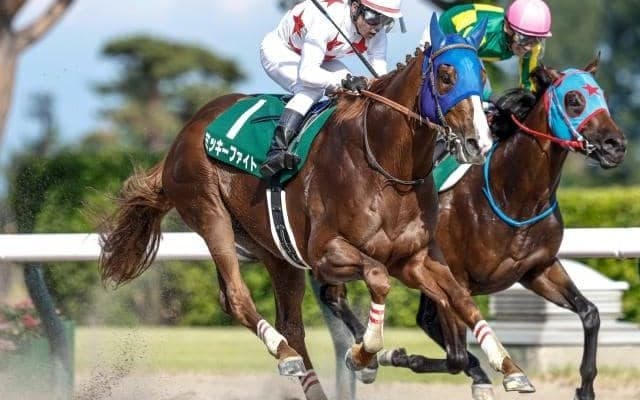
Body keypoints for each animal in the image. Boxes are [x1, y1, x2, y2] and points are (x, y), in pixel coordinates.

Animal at [98, 14, 532, 400]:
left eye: (483, 75)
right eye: (446, 75)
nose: (479, 142)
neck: (386, 167)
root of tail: (182, 135)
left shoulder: (415, 258)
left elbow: (460, 298)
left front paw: (510, 368)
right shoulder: (327, 253)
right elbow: (378, 279)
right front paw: (364, 354)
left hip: (274, 250)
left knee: (290, 323)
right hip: (210, 214)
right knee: (237, 298)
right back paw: (283, 353)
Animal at [316, 58, 627, 400]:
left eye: (603, 97)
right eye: (574, 100)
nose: (616, 145)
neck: (512, 193)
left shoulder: (539, 269)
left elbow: (590, 314)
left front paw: (585, 388)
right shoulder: (455, 276)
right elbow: (456, 356)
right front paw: (396, 355)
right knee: (335, 295)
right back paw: (371, 357)